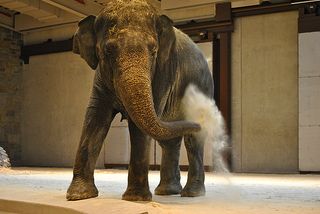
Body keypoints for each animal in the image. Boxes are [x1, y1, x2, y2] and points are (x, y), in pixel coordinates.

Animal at [65, 0, 215, 201]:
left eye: (153, 51)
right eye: (108, 50)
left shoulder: (162, 73)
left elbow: (138, 128)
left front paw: (135, 198)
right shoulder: (100, 79)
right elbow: (95, 119)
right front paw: (79, 196)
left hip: (203, 88)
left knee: (192, 141)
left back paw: (191, 194)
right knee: (170, 141)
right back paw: (167, 192)